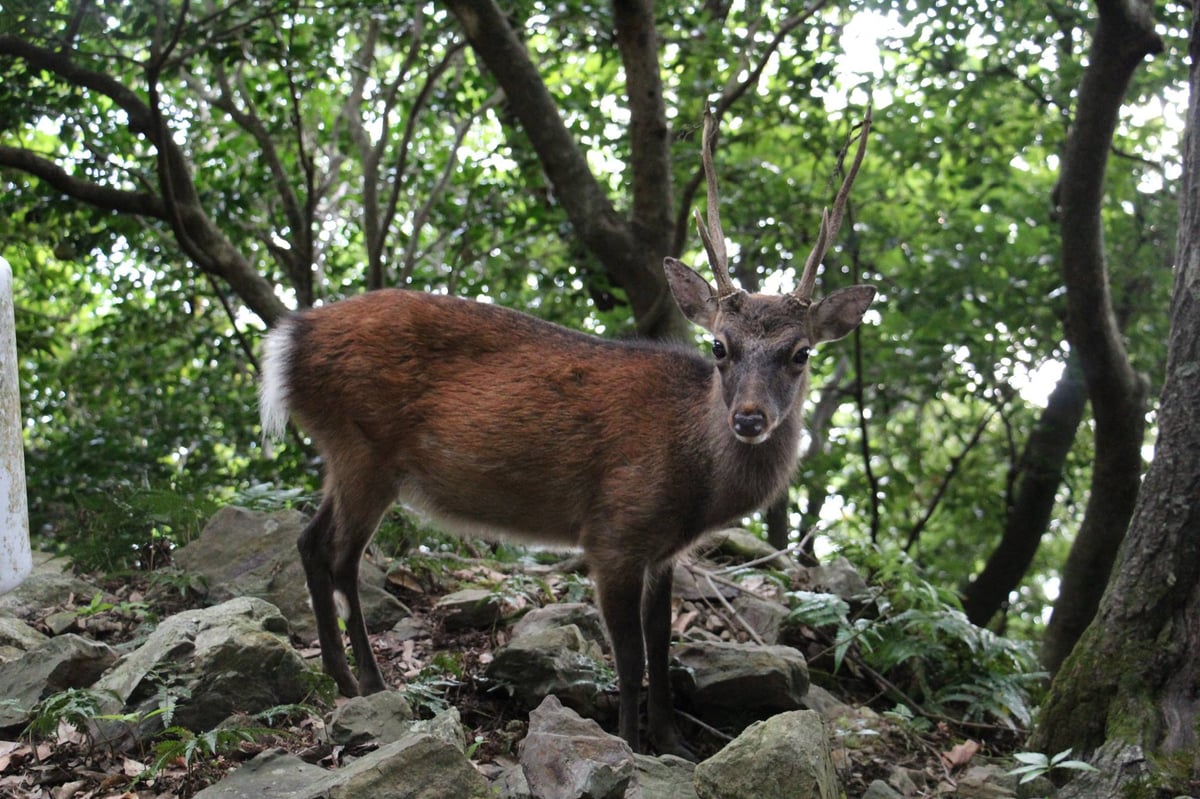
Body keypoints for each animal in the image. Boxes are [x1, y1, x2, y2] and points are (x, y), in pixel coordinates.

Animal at [260, 107, 873, 753]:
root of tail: (288, 340)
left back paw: (340, 674)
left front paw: (673, 742)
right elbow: (629, 658)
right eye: (719, 346)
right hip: (363, 448)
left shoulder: (663, 552)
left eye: (801, 352)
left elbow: (662, 646)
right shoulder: (614, 531)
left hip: (345, 454)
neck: (694, 478)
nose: (750, 418)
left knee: (310, 541)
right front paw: (630, 744)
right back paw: (370, 681)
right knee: (341, 556)